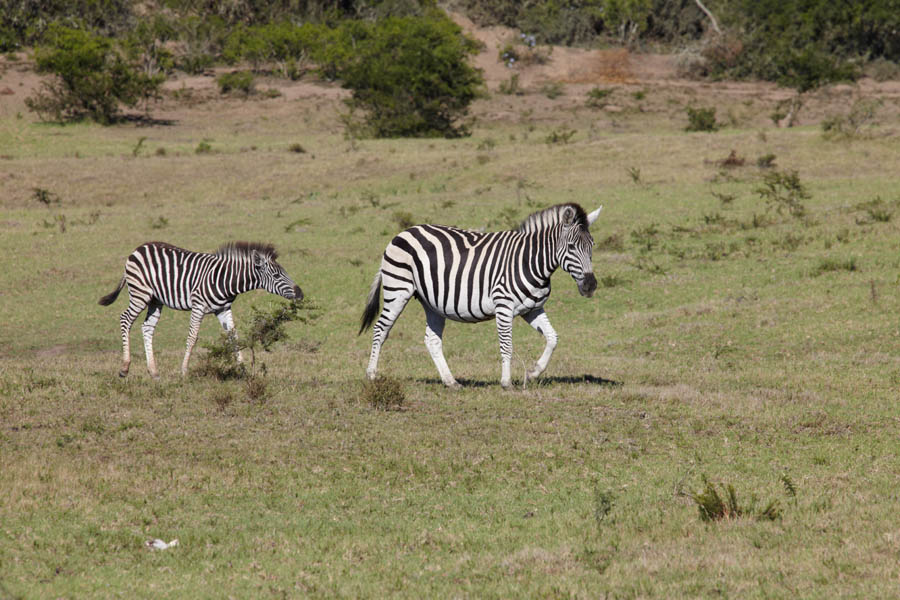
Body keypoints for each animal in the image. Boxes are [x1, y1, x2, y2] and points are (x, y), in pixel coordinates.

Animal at [98, 241, 302, 378]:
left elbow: (233, 336)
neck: (226, 279)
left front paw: (243, 370)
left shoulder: (223, 308)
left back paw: (154, 372)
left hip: (155, 300)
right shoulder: (198, 305)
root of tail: (138, 248)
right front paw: (184, 371)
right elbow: (192, 337)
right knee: (125, 319)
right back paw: (124, 368)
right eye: (277, 276)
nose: (300, 293)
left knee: (147, 328)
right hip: (140, 294)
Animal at [356, 203, 596, 390]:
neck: (530, 261)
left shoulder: (532, 309)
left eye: (592, 246)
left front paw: (532, 372)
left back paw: (451, 381)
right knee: (380, 329)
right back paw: (371, 375)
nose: (591, 285)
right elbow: (507, 345)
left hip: (431, 302)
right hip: (398, 289)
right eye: (572, 246)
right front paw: (506, 382)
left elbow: (552, 338)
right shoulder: (503, 306)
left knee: (432, 340)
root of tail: (403, 233)